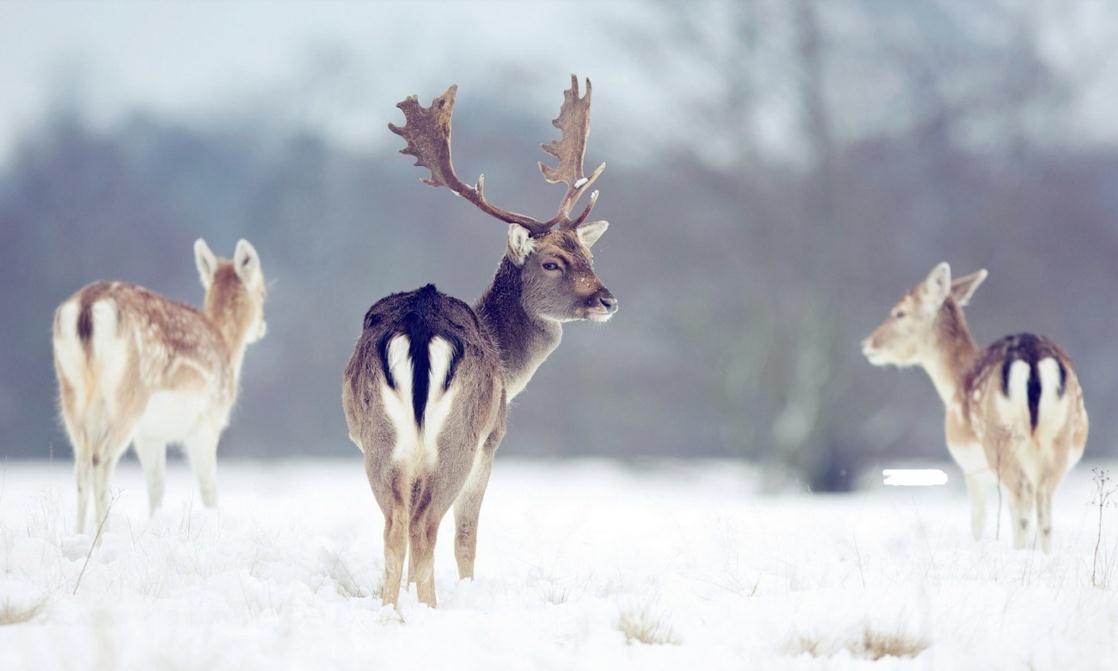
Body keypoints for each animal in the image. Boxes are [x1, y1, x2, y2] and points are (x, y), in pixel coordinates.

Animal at [53, 238, 268, 536]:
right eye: (263, 292)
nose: (262, 326)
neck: (227, 346)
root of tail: (86, 307)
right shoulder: (207, 420)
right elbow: (208, 488)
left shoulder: (150, 435)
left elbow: (156, 488)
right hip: (128, 396)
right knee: (101, 458)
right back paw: (101, 535)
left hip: (71, 392)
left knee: (81, 463)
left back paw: (79, 535)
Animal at [342, 74, 621, 608]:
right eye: (552, 262)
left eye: (588, 255)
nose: (608, 299)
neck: (508, 363)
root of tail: (419, 324)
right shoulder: (492, 441)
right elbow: (467, 536)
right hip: (459, 438)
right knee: (427, 526)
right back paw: (430, 609)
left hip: (378, 440)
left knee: (395, 526)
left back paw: (392, 611)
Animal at [858, 261, 1086, 550]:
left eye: (900, 312)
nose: (868, 344)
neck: (955, 381)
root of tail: (1033, 361)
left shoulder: (969, 463)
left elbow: (978, 518)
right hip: (1058, 437)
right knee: (1043, 501)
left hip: (1000, 441)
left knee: (1022, 496)